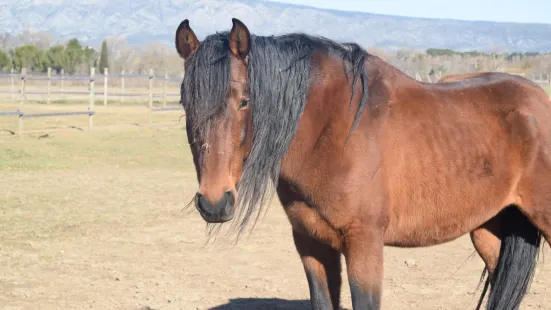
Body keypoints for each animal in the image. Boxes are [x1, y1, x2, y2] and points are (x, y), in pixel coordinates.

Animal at [177, 17, 551, 310]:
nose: (214, 203)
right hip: (488, 229)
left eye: (245, 101)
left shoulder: (364, 243)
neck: (335, 129)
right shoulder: (310, 243)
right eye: (184, 100)